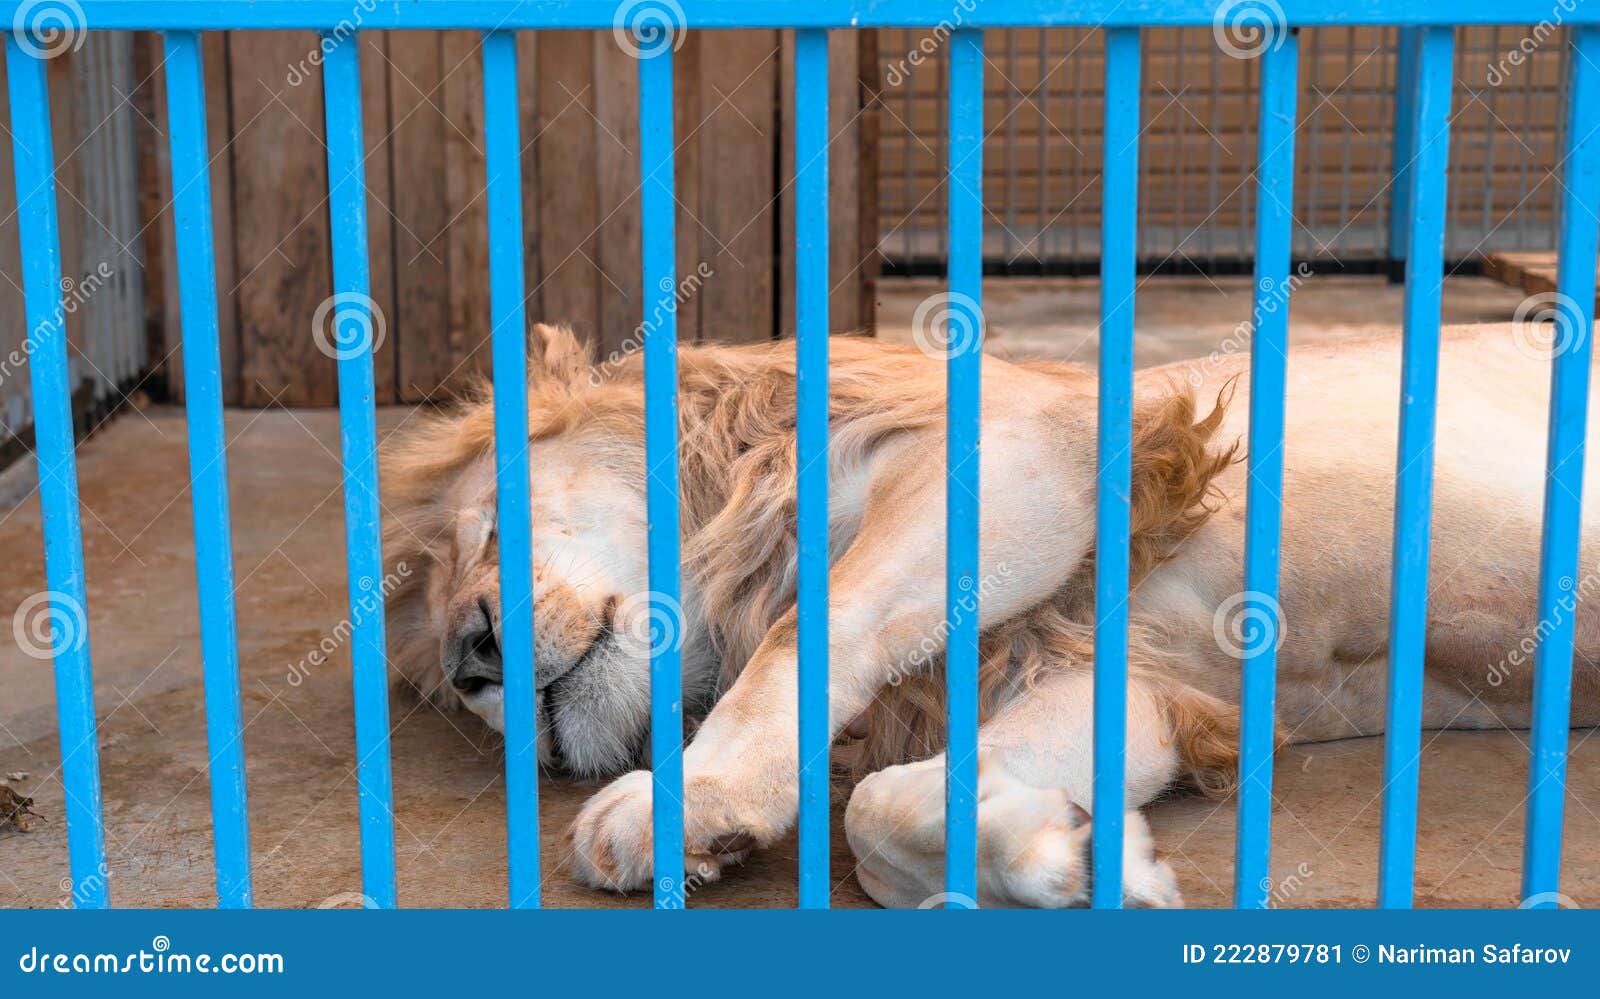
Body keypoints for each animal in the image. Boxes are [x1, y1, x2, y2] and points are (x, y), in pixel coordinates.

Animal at [380, 320, 1600, 907]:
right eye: (448, 682)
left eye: (489, 530)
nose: (474, 655)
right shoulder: (1132, 681)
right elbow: (880, 811)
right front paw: (1074, 862)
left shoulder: (1032, 447)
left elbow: (808, 631)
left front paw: (694, 799)